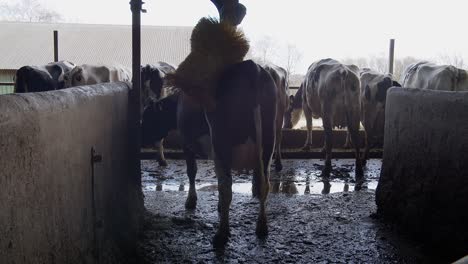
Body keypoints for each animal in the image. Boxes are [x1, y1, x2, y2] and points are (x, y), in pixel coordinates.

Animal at [141, 59, 276, 248]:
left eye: (146, 117)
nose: (137, 136)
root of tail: (252, 66)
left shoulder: (187, 143)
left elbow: (192, 172)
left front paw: (191, 201)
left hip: (222, 142)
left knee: (227, 188)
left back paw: (221, 235)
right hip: (268, 144)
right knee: (264, 185)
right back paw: (262, 227)